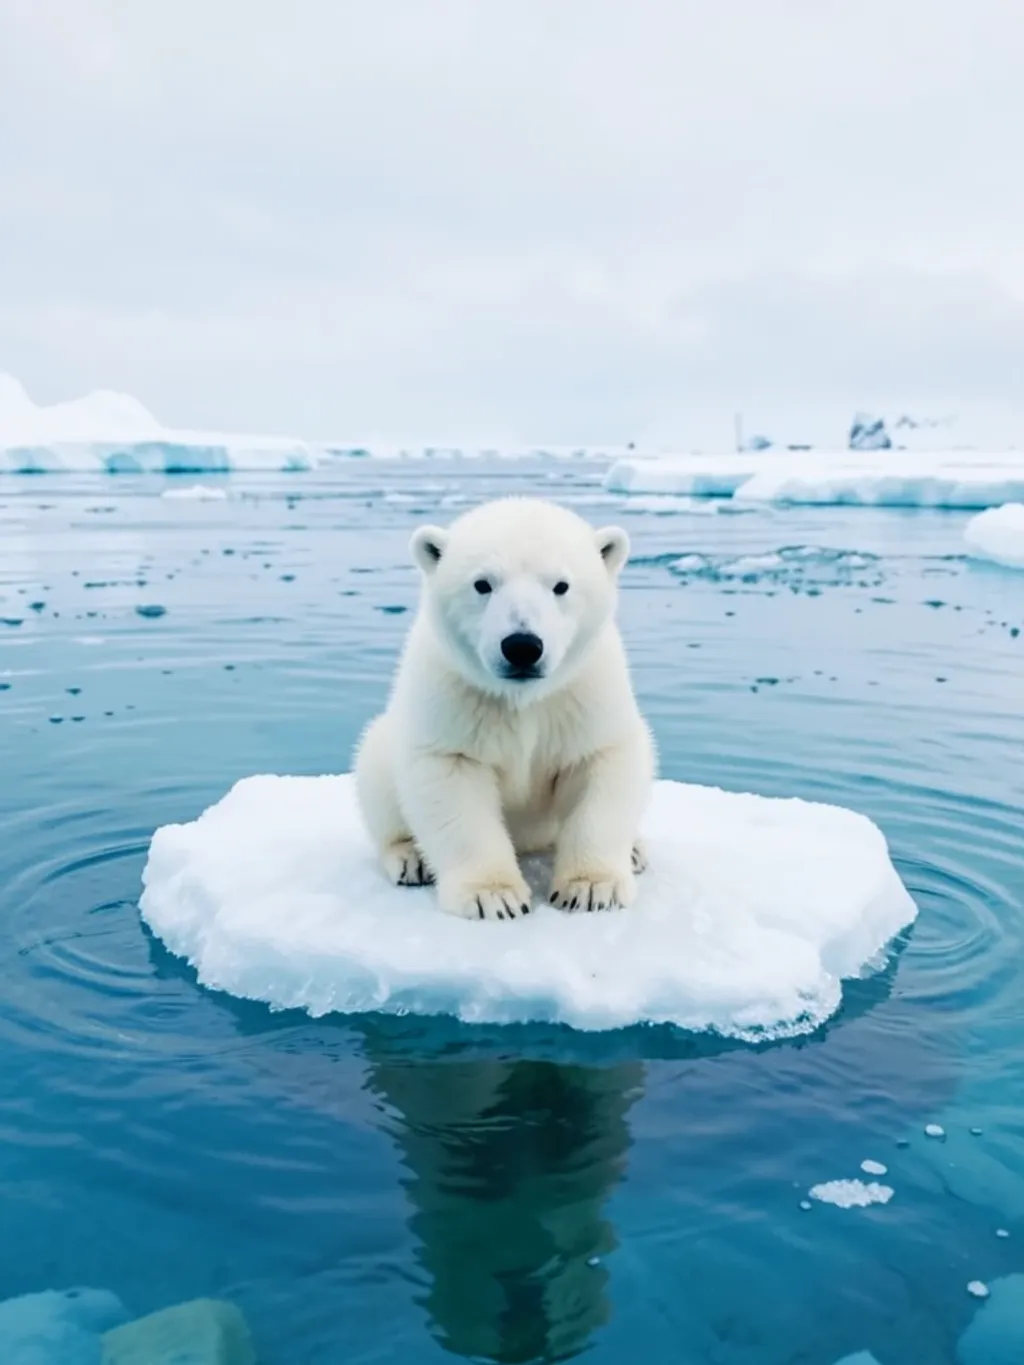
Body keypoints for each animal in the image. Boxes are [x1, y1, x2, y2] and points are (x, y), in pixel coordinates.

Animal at [354, 496, 656, 921]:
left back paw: (634, 850)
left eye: (561, 585)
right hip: (386, 743)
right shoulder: (454, 697)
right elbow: (454, 787)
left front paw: (592, 888)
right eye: (483, 583)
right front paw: (494, 896)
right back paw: (411, 858)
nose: (523, 646)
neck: (521, 697)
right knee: (376, 775)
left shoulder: (583, 695)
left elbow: (599, 767)